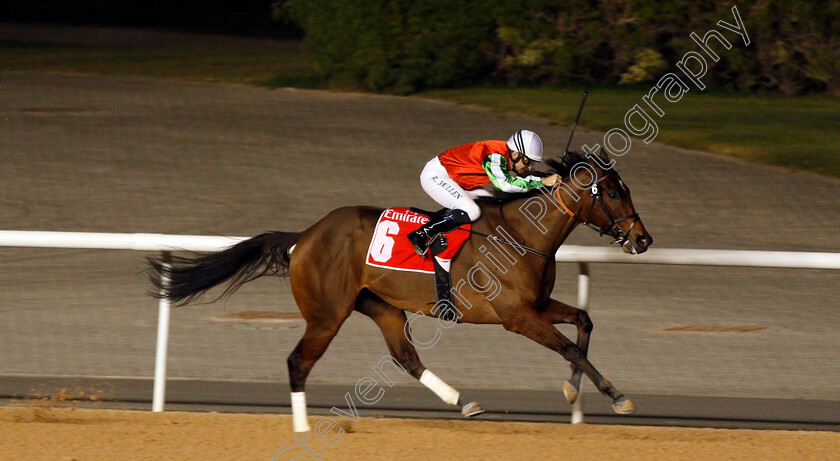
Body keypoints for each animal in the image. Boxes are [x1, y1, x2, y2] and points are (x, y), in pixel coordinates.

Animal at [149, 148, 648, 432]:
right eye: (613, 193)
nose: (644, 240)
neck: (523, 234)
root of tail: (304, 236)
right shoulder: (517, 317)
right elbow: (570, 347)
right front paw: (617, 397)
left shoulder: (539, 305)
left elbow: (584, 322)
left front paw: (573, 391)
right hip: (327, 314)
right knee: (297, 362)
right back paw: (302, 428)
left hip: (382, 306)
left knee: (405, 357)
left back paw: (462, 402)